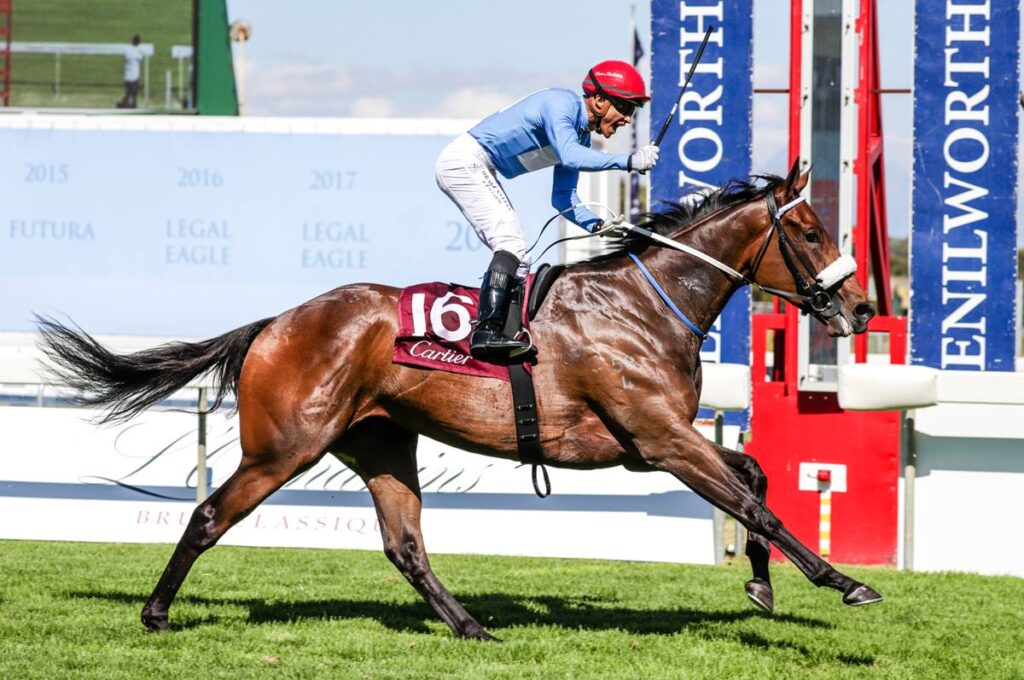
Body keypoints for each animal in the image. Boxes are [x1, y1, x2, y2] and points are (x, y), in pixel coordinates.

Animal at [37, 161, 880, 639]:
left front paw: (761, 584)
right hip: (284, 445)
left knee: (405, 545)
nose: (863, 306)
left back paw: (472, 628)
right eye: (810, 229)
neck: (642, 305)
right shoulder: (661, 438)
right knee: (210, 514)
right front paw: (845, 582)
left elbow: (755, 478)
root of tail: (275, 323)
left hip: (380, 443)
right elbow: (755, 505)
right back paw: (155, 614)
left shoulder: (650, 444)